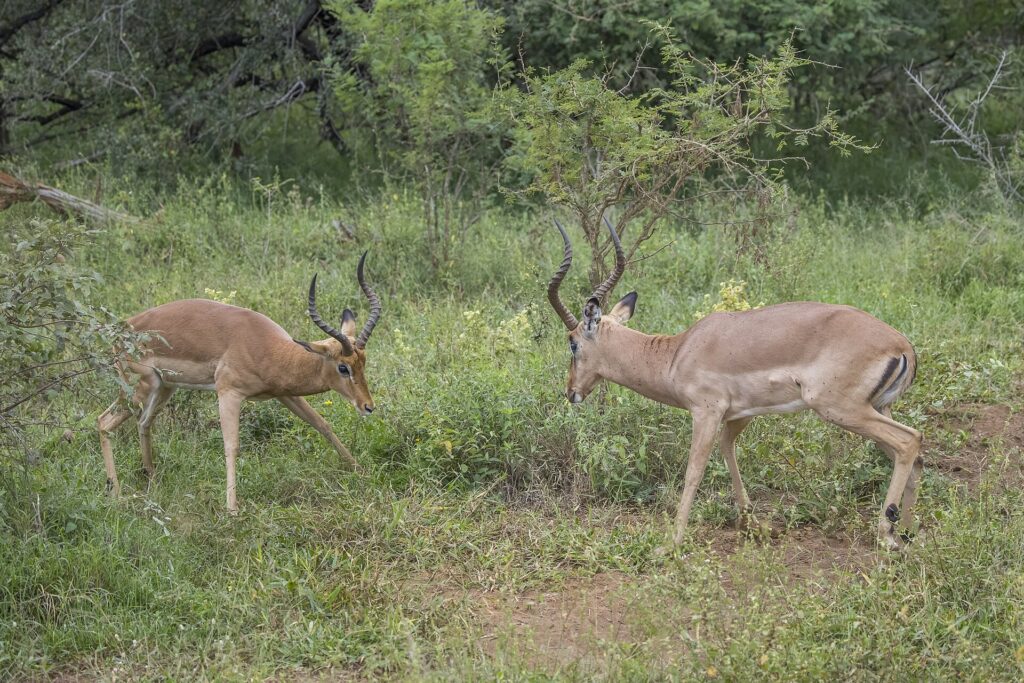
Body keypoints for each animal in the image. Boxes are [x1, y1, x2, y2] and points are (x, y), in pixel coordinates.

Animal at [97, 253, 382, 513]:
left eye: (364, 361)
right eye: (343, 367)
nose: (368, 406)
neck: (270, 349)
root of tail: (120, 331)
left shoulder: (284, 393)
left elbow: (322, 424)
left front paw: (361, 471)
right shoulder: (229, 393)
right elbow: (231, 446)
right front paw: (232, 509)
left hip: (165, 387)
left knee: (144, 423)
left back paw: (152, 480)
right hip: (139, 389)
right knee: (103, 422)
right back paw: (116, 494)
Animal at [546, 219, 921, 551]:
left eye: (572, 343)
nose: (571, 391)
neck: (676, 354)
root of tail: (902, 345)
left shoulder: (706, 412)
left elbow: (693, 471)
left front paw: (671, 543)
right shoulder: (740, 415)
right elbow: (729, 452)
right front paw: (751, 523)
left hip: (840, 409)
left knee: (908, 441)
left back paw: (887, 535)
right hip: (876, 407)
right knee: (914, 452)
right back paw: (906, 532)